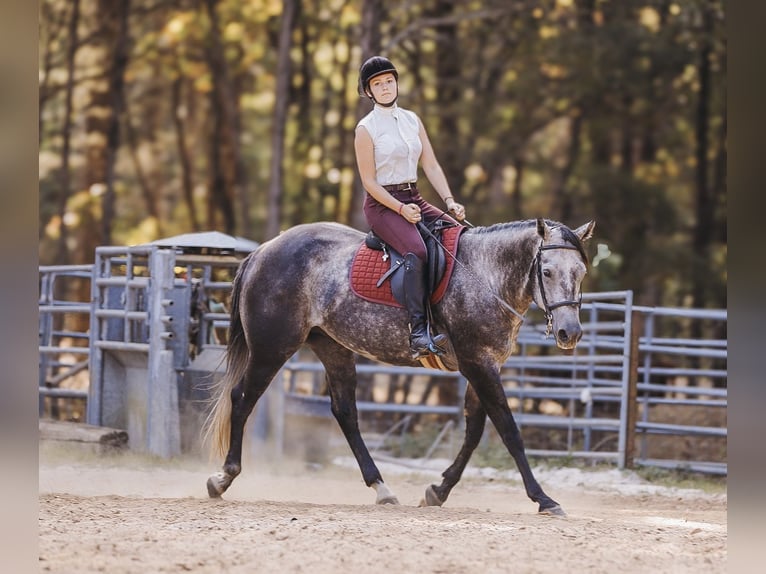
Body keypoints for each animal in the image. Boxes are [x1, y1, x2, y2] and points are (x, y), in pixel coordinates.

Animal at [202, 218, 592, 516]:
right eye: (547, 271)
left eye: (581, 272)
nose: (569, 333)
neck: (485, 274)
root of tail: (263, 251)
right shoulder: (478, 365)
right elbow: (509, 431)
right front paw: (543, 499)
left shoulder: (483, 365)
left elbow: (474, 432)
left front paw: (438, 491)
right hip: (271, 349)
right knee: (242, 398)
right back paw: (223, 477)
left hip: (332, 348)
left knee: (345, 413)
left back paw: (381, 487)